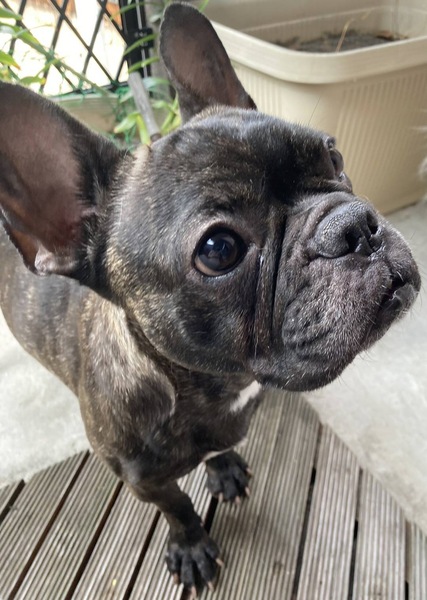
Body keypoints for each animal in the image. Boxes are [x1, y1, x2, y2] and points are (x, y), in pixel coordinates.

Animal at [0, 3, 420, 595]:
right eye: (219, 250)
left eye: (334, 156)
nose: (355, 225)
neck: (215, 386)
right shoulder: (144, 481)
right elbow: (177, 506)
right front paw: (192, 545)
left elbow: (219, 449)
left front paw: (221, 465)